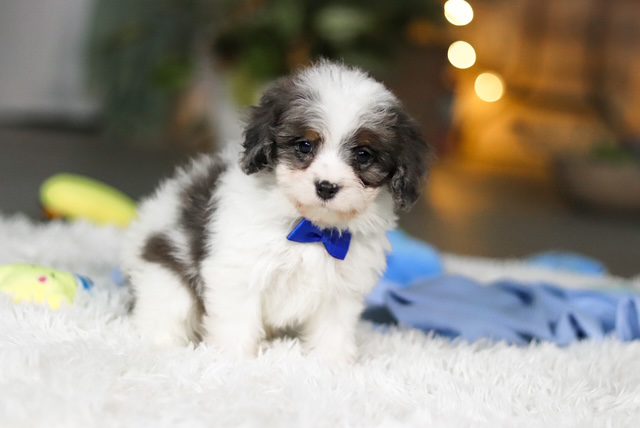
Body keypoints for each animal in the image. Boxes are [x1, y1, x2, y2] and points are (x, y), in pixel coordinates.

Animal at [123, 61, 429, 363]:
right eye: (304, 145)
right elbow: (236, 323)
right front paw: (231, 361)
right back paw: (162, 346)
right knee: (164, 314)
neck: (310, 229)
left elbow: (332, 331)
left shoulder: (341, 290)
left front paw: (331, 365)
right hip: (165, 277)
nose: (326, 186)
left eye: (363, 155)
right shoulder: (238, 272)